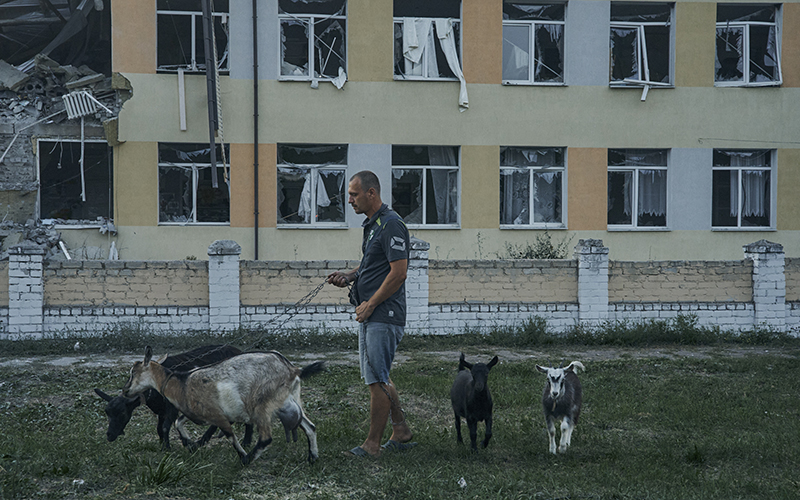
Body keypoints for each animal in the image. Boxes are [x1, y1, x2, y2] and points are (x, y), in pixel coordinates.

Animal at [91, 344, 247, 450]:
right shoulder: (161, 410)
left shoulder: (172, 407)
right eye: (107, 412)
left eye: (123, 413)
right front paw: (167, 444)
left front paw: (172, 447)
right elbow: (160, 428)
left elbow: (166, 426)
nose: (109, 435)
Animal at [123, 344, 324, 464]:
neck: (181, 382)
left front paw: (241, 454)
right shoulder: (195, 411)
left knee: (266, 438)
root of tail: (292, 369)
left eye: (133, 373)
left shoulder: (217, 414)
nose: (125, 391)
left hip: (262, 404)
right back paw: (312, 457)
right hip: (289, 401)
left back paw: (247, 460)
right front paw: (190, 443)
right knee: (310, 426)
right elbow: (179, 422)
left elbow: (230, 435)